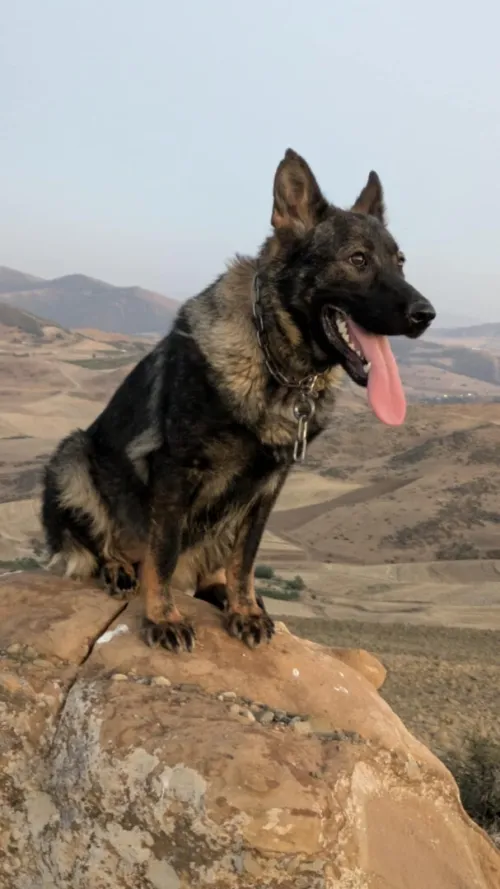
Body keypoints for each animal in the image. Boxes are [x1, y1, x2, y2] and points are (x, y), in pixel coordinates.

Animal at [41, 149, 436, 652]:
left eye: (400, 262)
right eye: (358, 259)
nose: (426, 315)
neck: (275, 363)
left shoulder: (269, 484)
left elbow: (245, 558)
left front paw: (243, 609)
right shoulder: (176, 469)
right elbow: (162, 554)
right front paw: (163, 617)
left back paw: (215, 589)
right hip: (72, 456)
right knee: (96, 543)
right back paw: (116, 567)